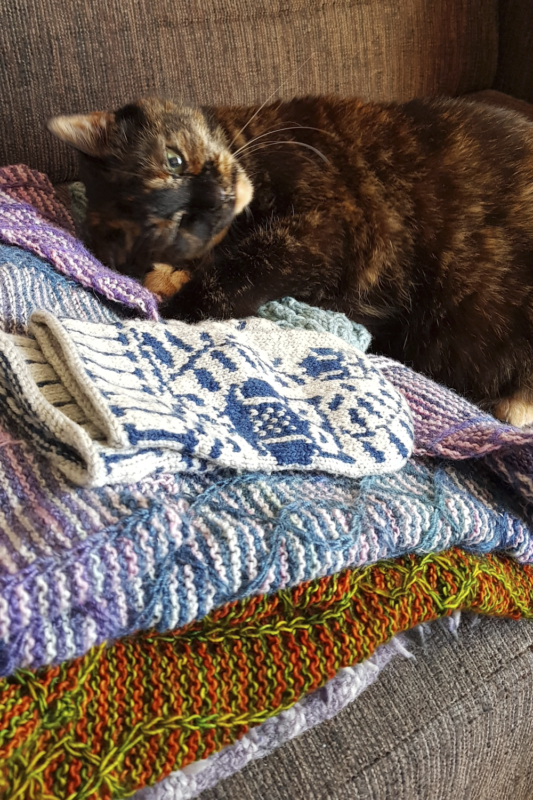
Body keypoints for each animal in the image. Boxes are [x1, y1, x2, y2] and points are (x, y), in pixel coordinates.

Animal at [48, 95, 533, 424]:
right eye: (176, 224)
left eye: (175, 160)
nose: (217, 196)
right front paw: (167, 280)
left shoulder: (332, 226)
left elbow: (240, 274)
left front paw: (177, 309)